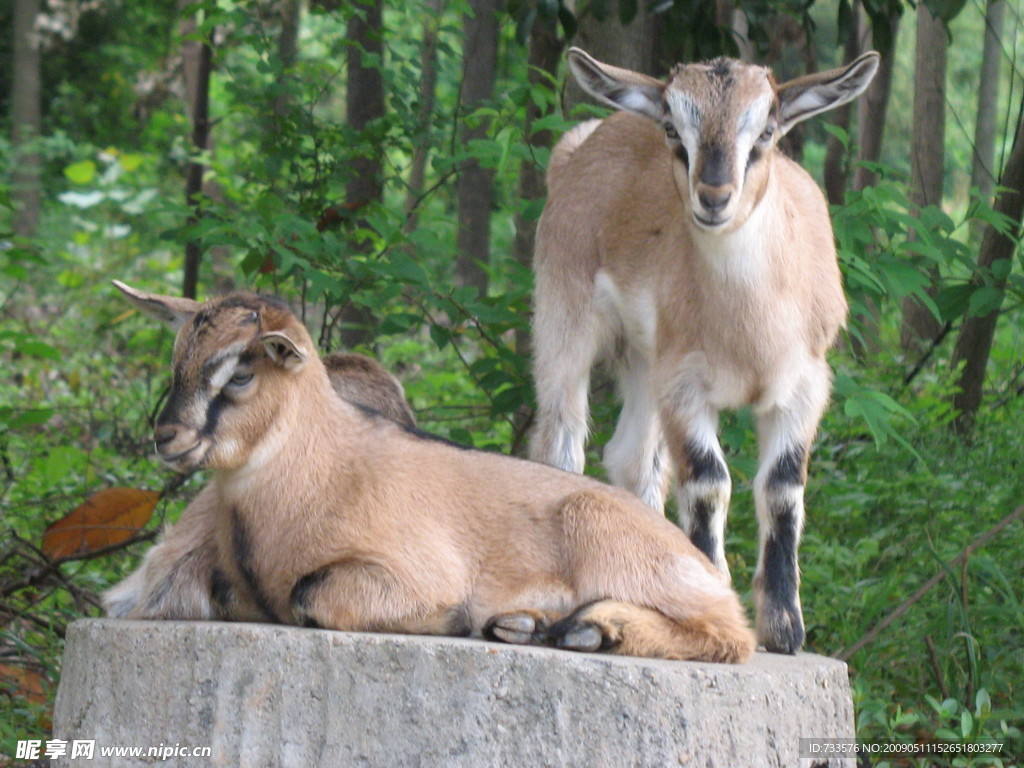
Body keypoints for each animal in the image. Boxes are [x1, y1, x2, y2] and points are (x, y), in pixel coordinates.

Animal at [532, 49, 876, 655]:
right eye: (674, 128)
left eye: (766, 130)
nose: (714, 198)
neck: (751, 331)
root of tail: (579, 146)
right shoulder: (686, 385)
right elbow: (709, 482)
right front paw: (717, 592)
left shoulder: (805, 386)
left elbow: (783, 489)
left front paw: (785, 628)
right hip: (564, 314)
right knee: (563, 437)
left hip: (643, 362)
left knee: (632, 457)